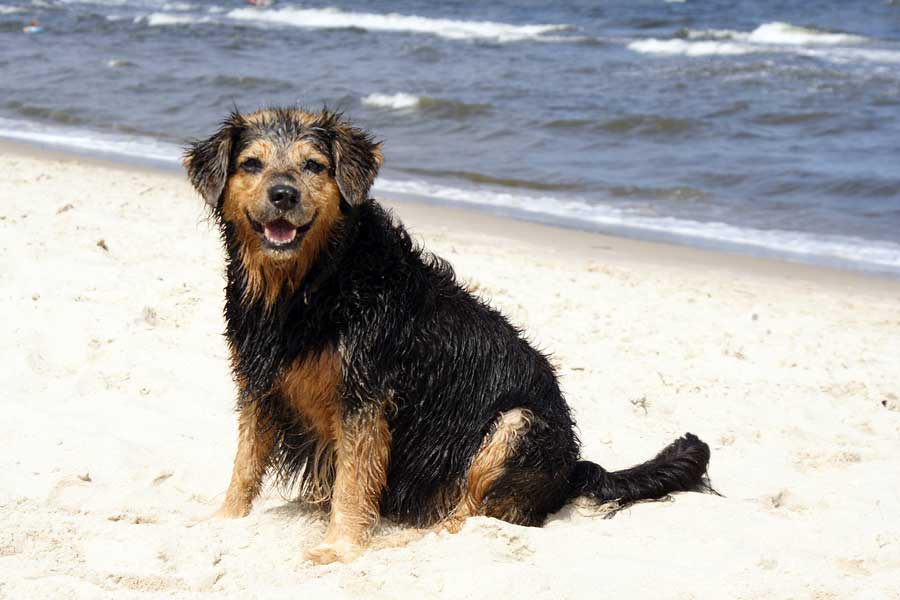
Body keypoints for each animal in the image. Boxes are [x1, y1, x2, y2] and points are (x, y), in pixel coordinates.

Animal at [183, 106, 712, 564]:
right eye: (251, 164)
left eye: (313, 166)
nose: (283, 195)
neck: (310, 284)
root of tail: (573, 469)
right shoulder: (259, 381)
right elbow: (245, 463)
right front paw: (224, 520)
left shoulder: (365, 395)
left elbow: (354, 483)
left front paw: (339, 548)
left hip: (518, 424)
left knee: (473, 517)